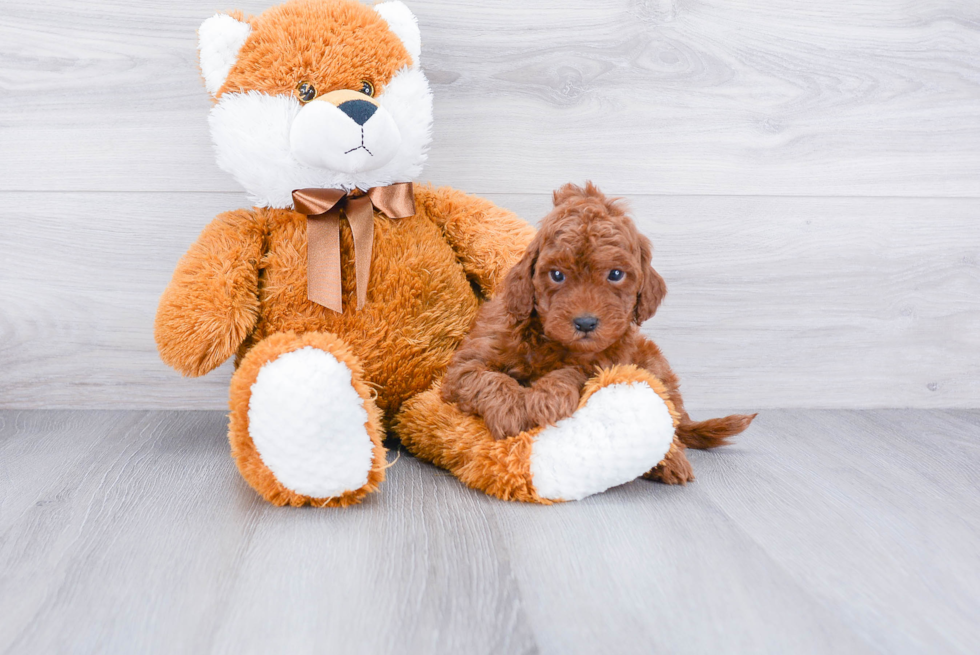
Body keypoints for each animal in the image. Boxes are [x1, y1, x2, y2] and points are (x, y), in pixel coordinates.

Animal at [444, 182, 756, 484]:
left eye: (615, 274)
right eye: (557, 275)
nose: (585, 323)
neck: (551, 342)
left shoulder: (604, 363)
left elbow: (572, 373)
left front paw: (546, 398)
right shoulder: (466, 364)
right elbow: (488, 377)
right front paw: (509, 410)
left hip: (654, 366)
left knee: (669, 420)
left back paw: (669, 460)